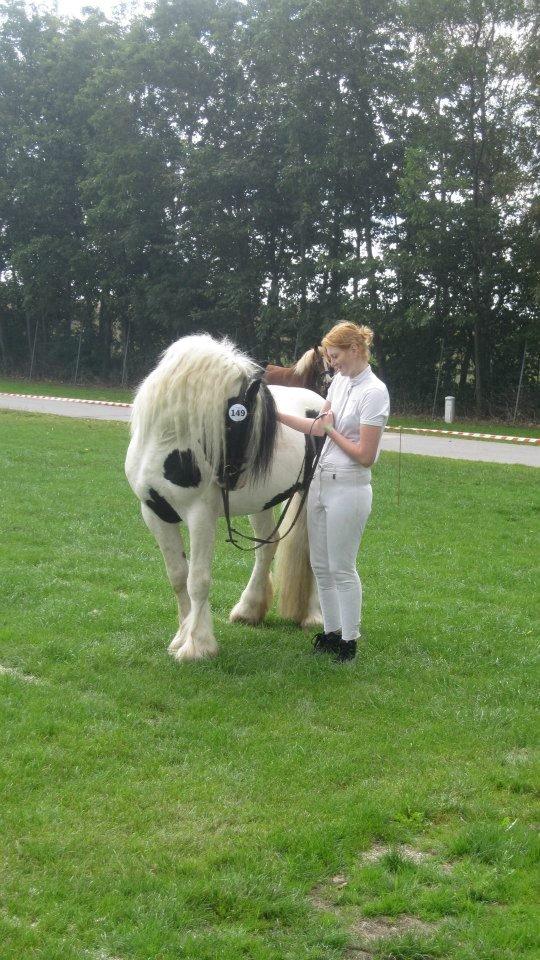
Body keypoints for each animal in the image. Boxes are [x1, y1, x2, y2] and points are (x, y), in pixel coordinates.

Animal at [125, 336, 324, 660]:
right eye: (242, 420)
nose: (235, 479)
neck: (169, 446)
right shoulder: (155, 513)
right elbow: (178, 576)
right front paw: (181, 636)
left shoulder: (201, 516)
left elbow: (198, 579)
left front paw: (197, 644)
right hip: (263, 504)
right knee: (266, 548)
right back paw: (249, 609)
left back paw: (314, 615)